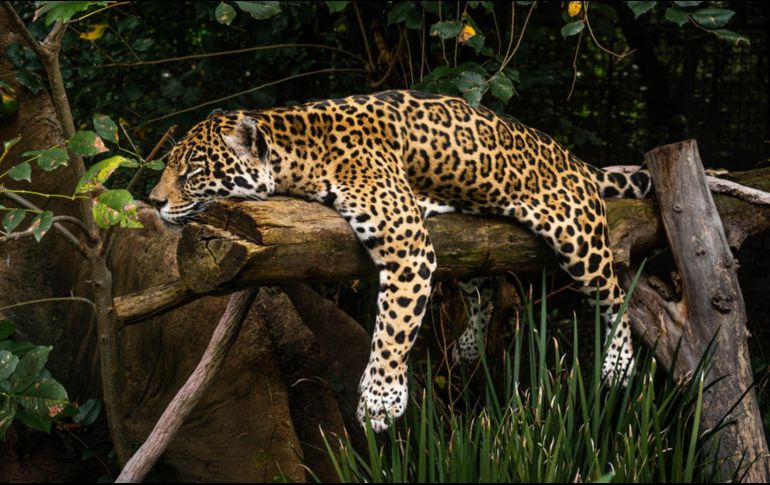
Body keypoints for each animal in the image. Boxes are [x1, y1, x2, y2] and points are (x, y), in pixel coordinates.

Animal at [148, 90, 652, 432]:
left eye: (192, 170)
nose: (152, 201)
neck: (301, 148)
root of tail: (576, 161)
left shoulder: (406, 242)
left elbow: (394, 325)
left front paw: (380, 400)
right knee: (482, 285)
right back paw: (469, 345)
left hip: (576, 233)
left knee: (613, 292)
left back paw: (619, 362)